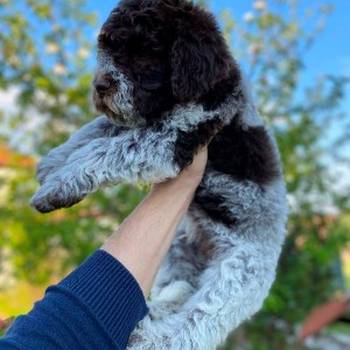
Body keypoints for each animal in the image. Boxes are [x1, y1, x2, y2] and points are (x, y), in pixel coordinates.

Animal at [30, 0, 288, 348]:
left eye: (144, 53)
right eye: (110, 49)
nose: (99, 86)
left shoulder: (173, 136)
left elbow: (109, 149)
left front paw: (58, 185)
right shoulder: (145, 120)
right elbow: (96, 129)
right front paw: (54, 161)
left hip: (236, 278)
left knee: (196, 322)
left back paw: (149, 338)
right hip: (179, 252)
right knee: (181, 291)